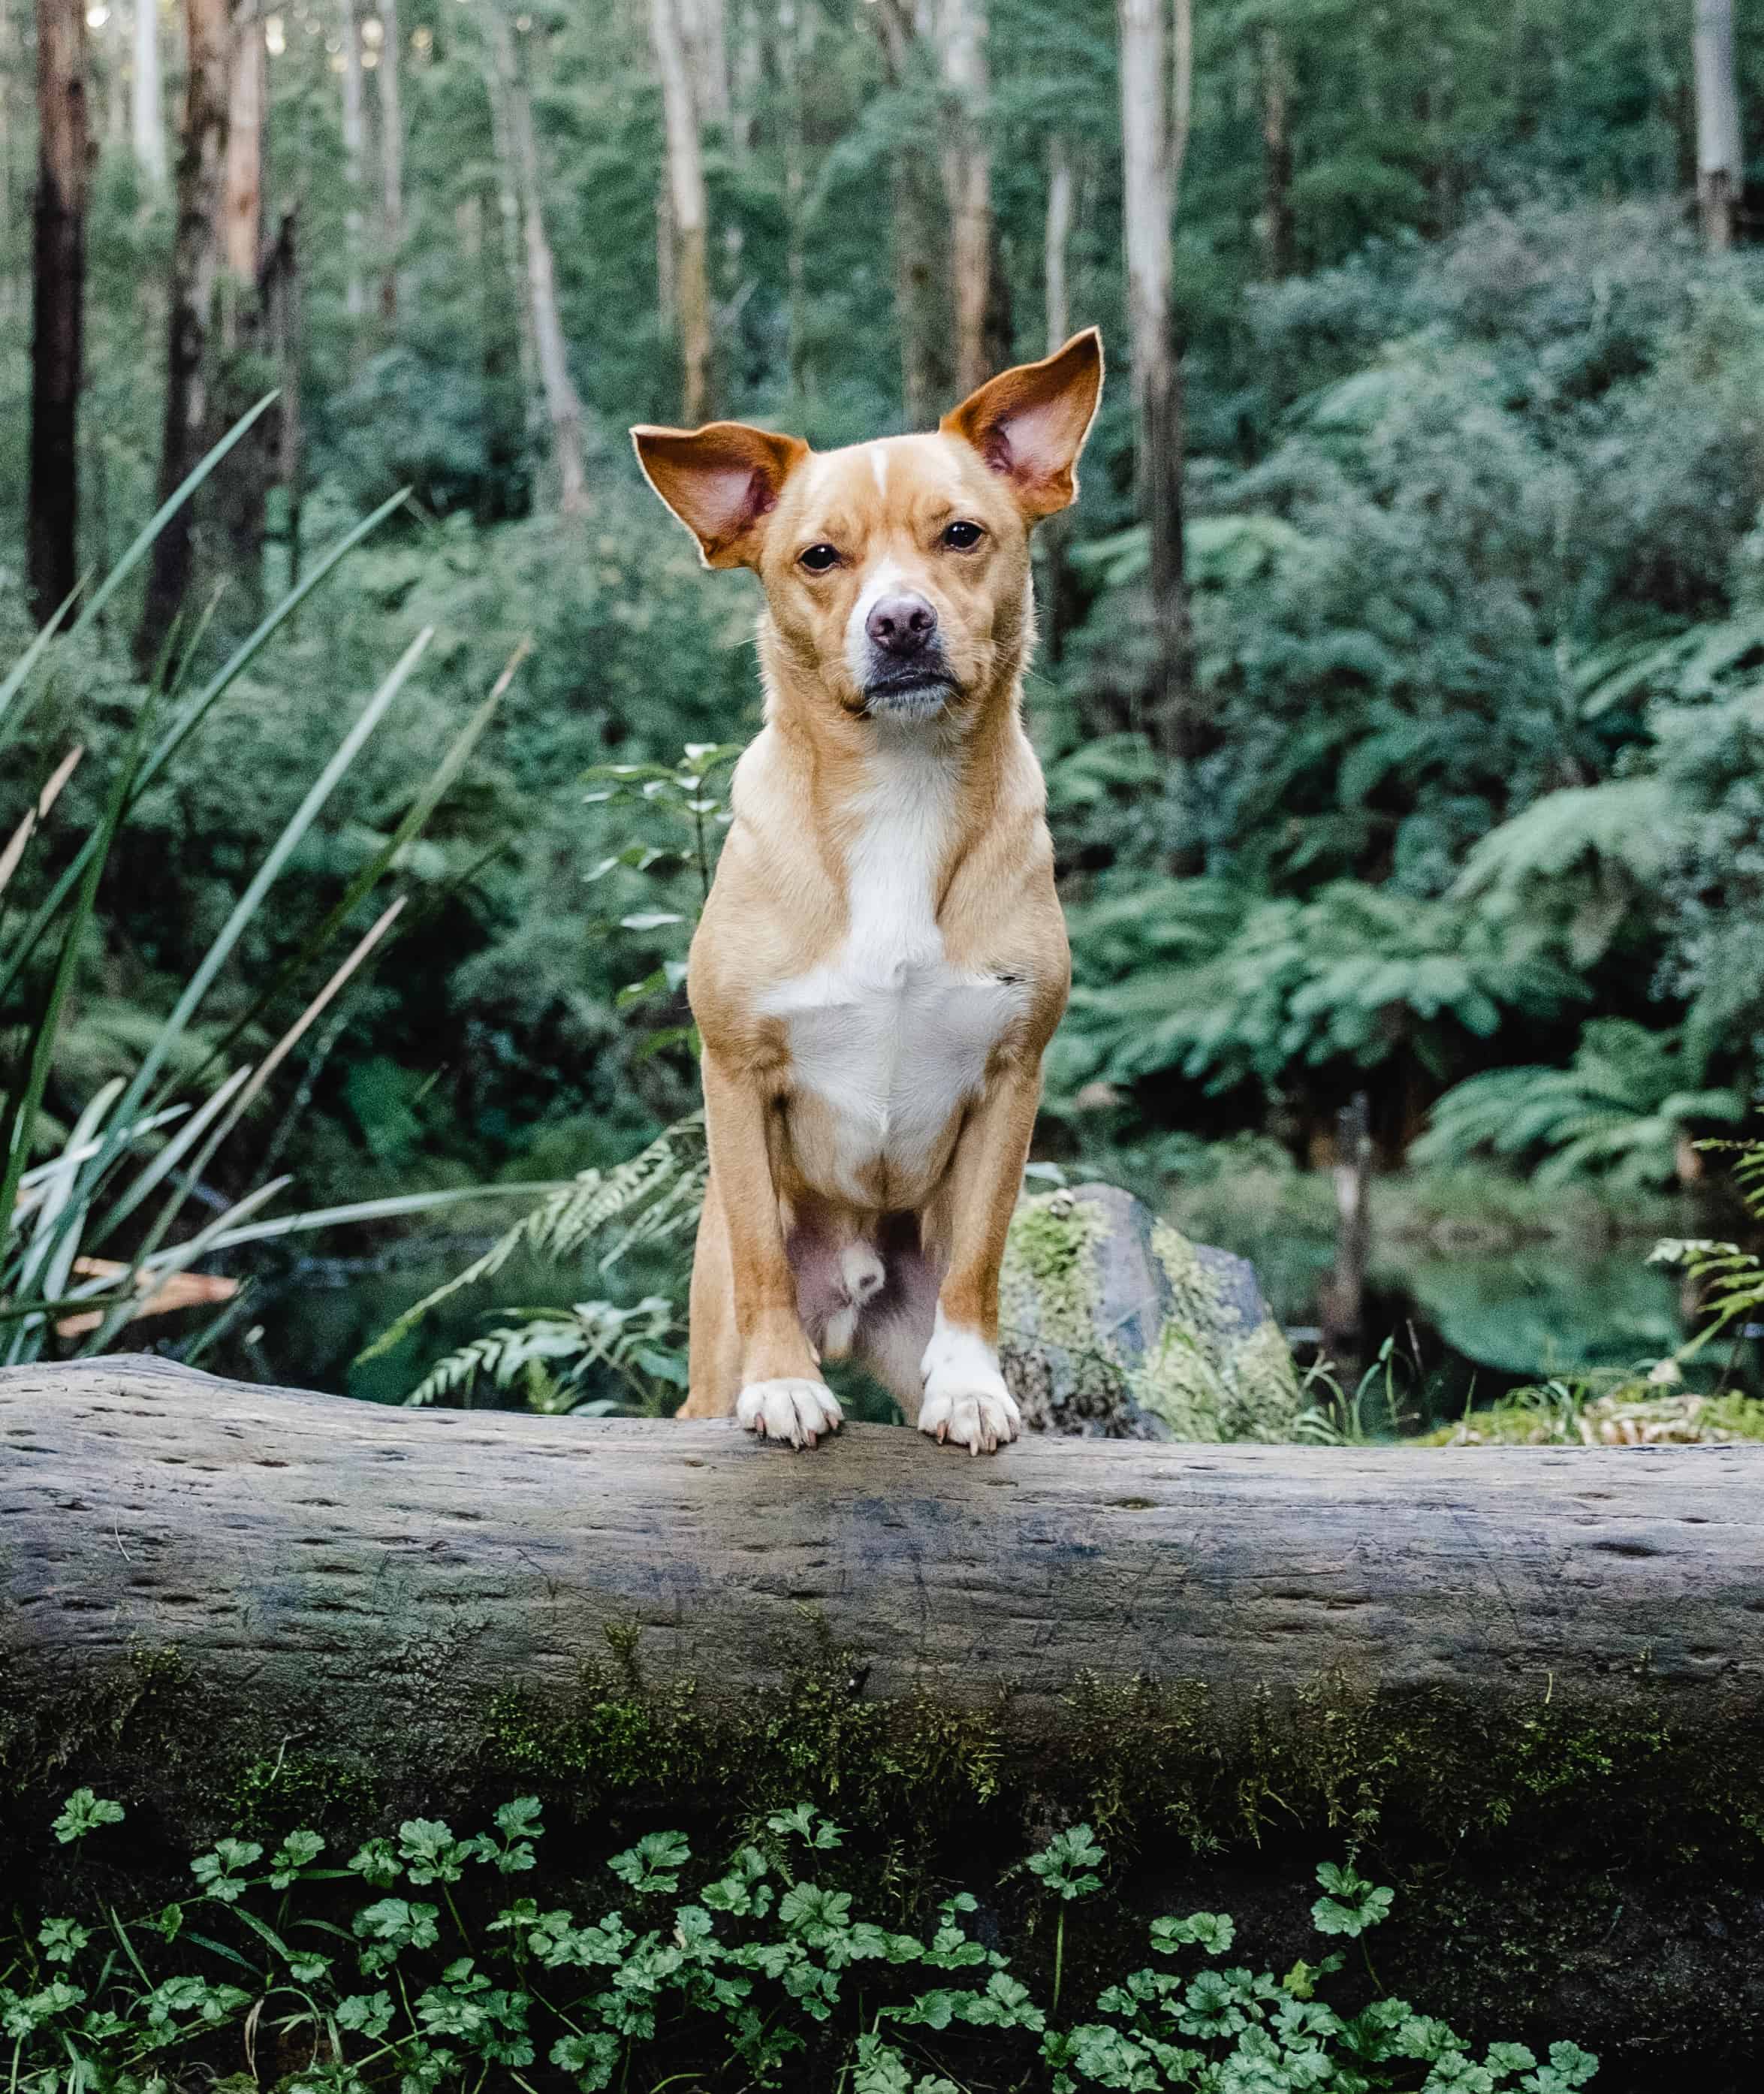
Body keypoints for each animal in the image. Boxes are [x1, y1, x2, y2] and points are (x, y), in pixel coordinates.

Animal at [636, 335, 1105, 1465]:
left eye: (961, 535)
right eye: (819, 558)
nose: (900, 621)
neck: (899, 786)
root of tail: (852, 1294)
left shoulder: (1011, 1078)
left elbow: (979, 1259)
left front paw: (971, 1388)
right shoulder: (735, 1069)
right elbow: (763, 1249)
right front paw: (784, 1384)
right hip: (708, 1357)